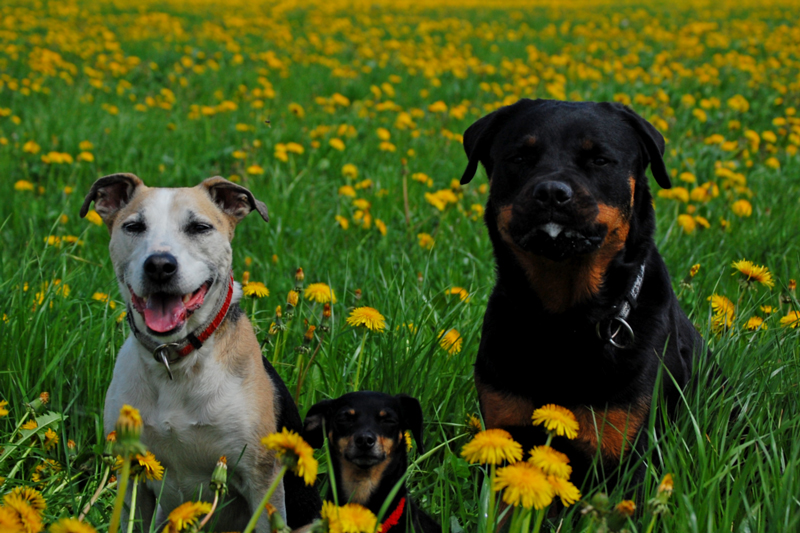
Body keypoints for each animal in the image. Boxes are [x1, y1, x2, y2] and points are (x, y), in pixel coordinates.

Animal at [81, 175, 318, 532]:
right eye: (134, 226)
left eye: (199, 227)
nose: (159, 265)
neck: (176, 359)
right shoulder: (132, 474)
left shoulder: (261, 479)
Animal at [460, 98, 704, 486]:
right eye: (520, 157)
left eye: (599, 160)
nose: (551, 191)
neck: (564, 322)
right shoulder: (503, 428)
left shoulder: (627, 450)